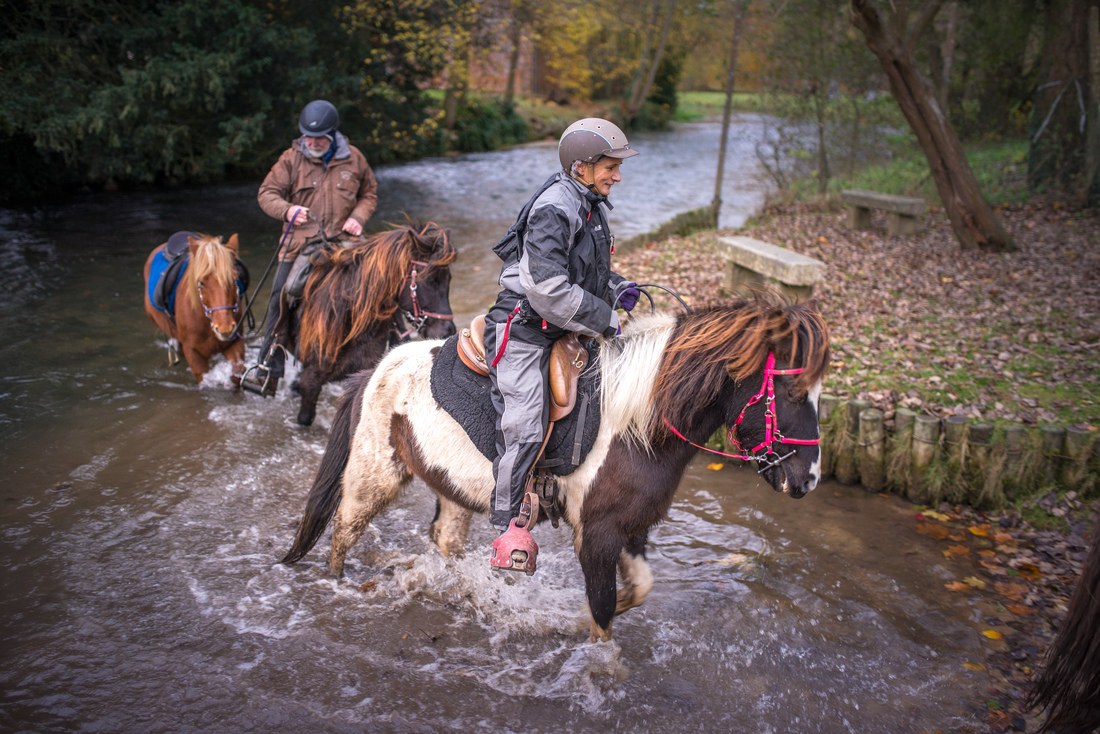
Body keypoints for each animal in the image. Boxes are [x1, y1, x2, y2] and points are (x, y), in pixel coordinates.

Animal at [143, 234, 246, 385]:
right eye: (201, 282)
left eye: (234, 279)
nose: (225, 329)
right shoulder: (193, 354)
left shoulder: (235, 343)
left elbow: (237, 375)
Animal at [279, 294, 827, 638]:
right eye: (792, 392)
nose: (808, 480)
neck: (635, 423)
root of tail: (374, 371)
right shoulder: (598, 533)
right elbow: (603, 614)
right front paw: (603, 664)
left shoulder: (630, 527)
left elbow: (637, 591)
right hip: (376, 474)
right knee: (344, 529)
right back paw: (338, 582)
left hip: (451, 488)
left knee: (444, 540)